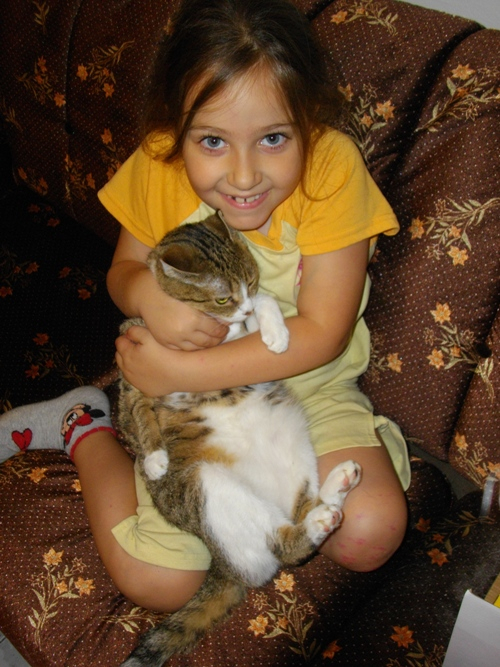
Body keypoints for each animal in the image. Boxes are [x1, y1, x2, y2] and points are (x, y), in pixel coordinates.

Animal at [117, 211, 361, 667]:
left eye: (251, 279)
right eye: (220, 299)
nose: (243, 307)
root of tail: (223, 565)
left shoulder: (247, 318)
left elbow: (267, 304)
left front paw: (275, 332)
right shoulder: (131, 358)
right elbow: (138, 410)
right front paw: (154, 457)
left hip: (293, 440)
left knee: (304, 508)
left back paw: (337, 487)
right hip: (212, 491)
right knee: (284, 545)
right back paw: (320, 518)